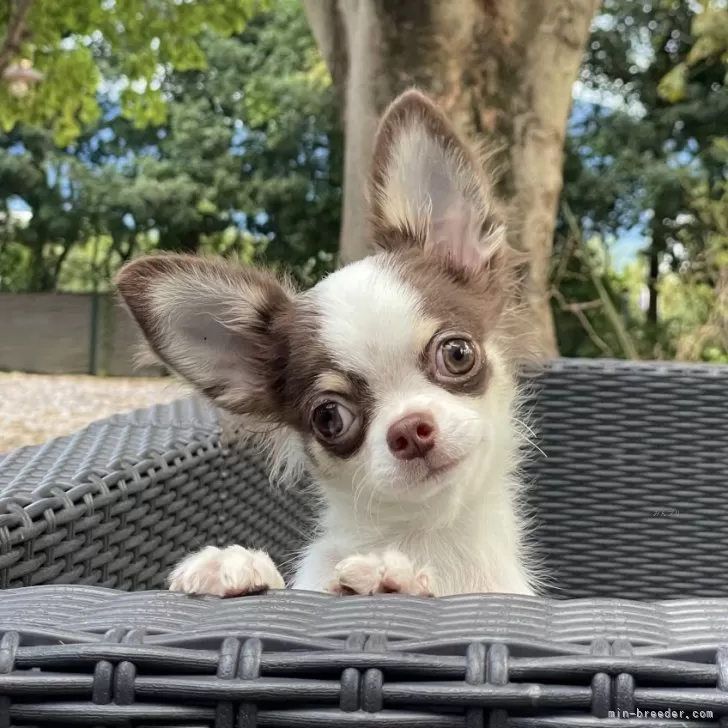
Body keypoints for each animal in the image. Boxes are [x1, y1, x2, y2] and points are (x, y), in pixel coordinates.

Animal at [118, 88, 540, 600]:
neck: (427, 538)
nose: (410, 429)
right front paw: (232, 564)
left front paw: (391, 575)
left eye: (457, 354)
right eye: (329, 418)